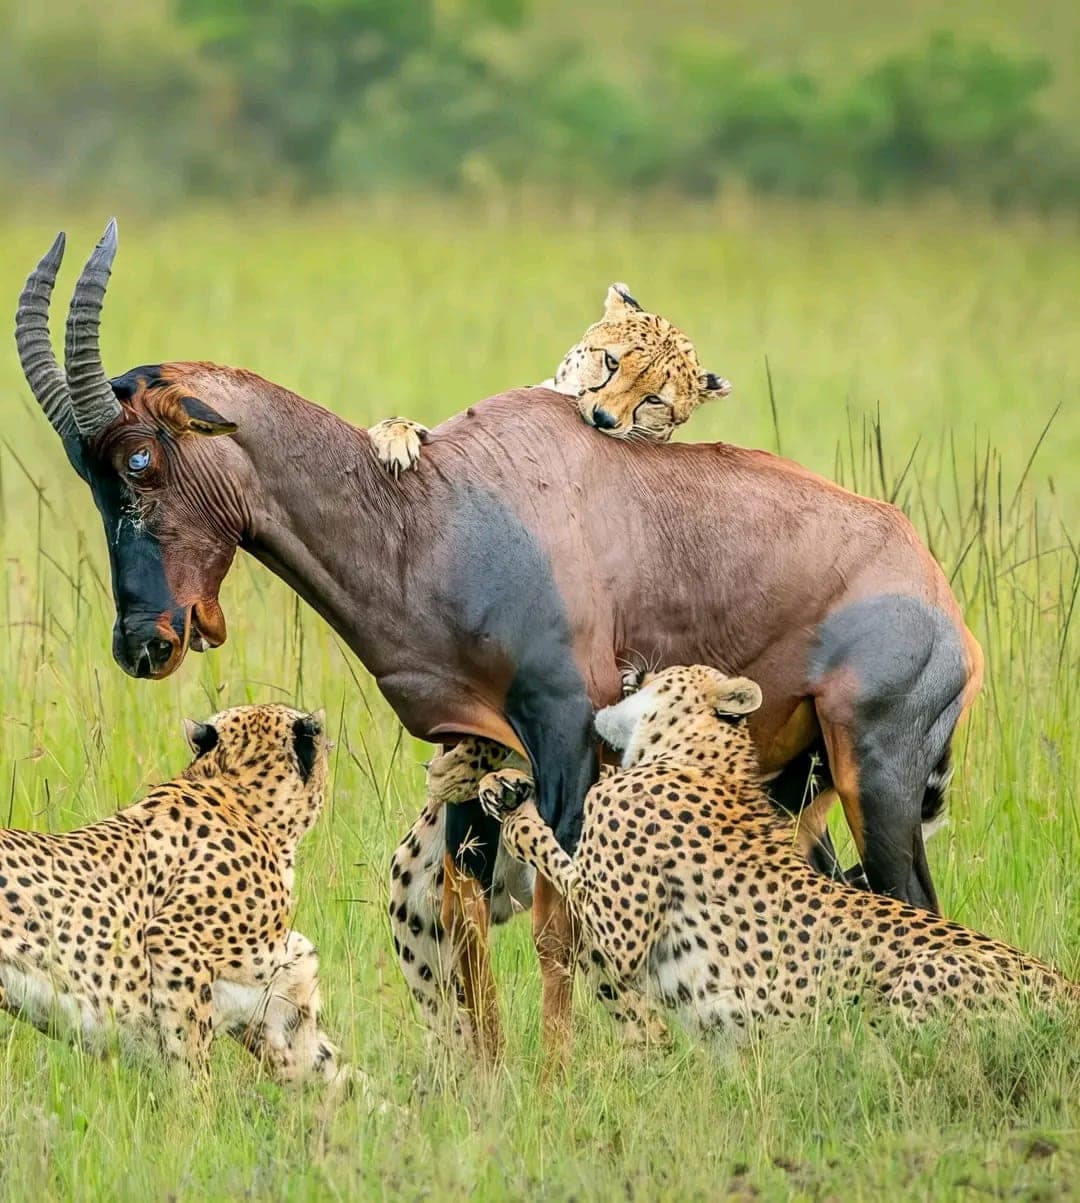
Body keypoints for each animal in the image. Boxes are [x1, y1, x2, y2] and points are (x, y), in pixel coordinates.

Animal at [0, 703, 348, 1087]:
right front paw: (194, 1101)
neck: (237, 789)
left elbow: (338, 1077)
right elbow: (190, 1059)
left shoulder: (280, 1006)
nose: (329, 744)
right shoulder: (174, 941)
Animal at [476, 666, 1076, 1045]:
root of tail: (1066, 988)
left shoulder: (621, 932)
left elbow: (559, 844)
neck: (693, 756)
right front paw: (503, 783)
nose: (631, 671)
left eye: (662, 673)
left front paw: (518, 814)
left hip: (923, 982)